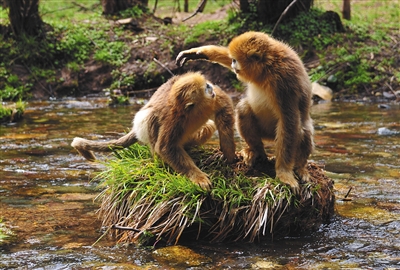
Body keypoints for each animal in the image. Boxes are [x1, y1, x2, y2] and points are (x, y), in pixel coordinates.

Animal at [71, 71, 238, 190]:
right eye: (206, 88)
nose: (210, 86)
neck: (193, 112)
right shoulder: (174, 121)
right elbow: (165, 147)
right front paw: (198, 178)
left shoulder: (211, 101)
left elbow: (224, 106)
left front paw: (229, 152)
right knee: (150, 116)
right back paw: (159, 161)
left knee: (207, 127)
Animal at [177, 31, 314, 192]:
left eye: (235, 60)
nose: (233, 64)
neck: (268, 68)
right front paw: (199, 52)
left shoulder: (284, 80)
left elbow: (289, 120)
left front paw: (284, 173)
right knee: (243, 108)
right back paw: (256, 152)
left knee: (301, 130)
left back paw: (300, 167)